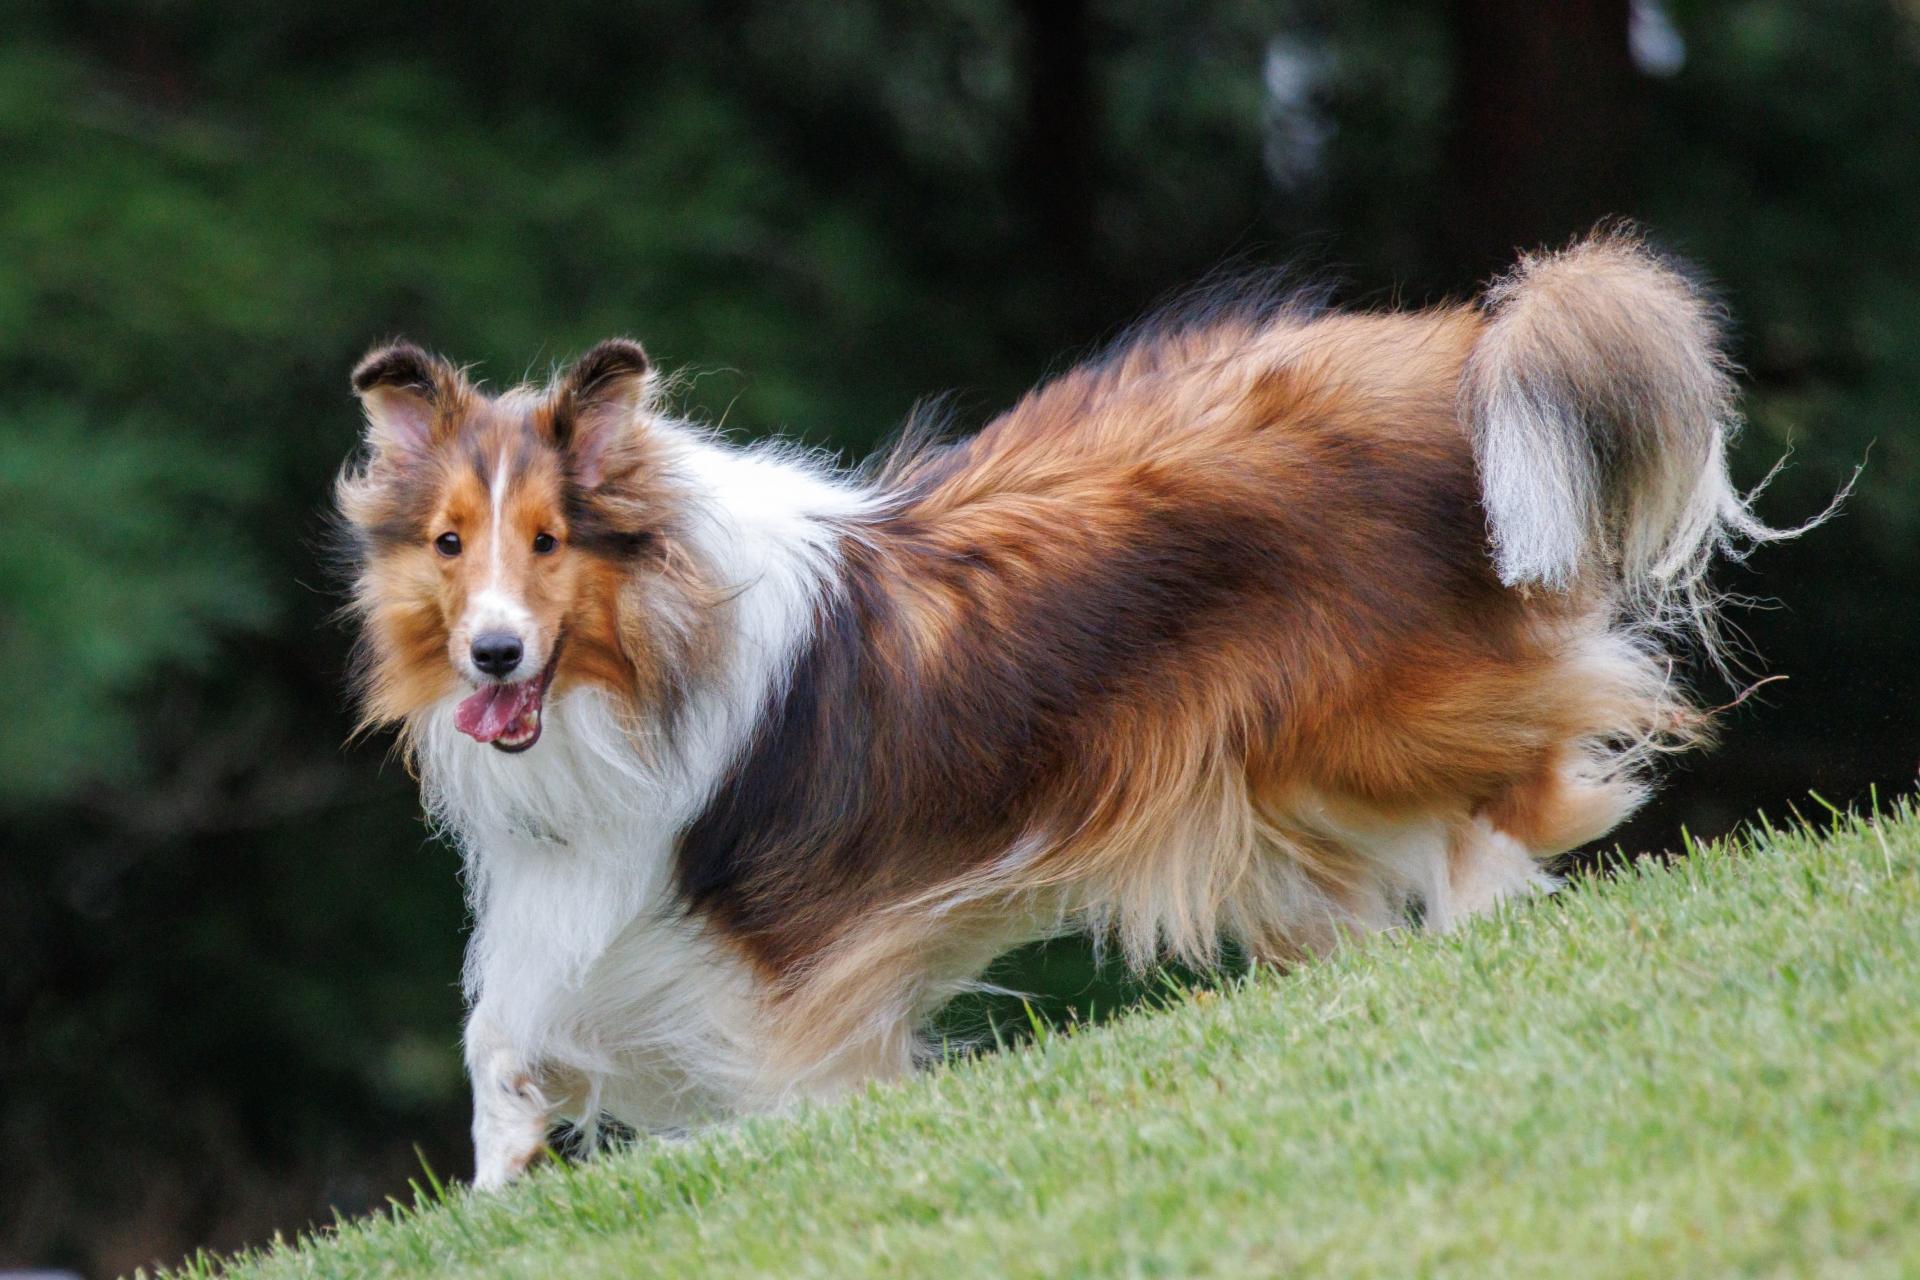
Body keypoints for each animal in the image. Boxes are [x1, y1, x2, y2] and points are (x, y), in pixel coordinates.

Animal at [334, 230, 1797, 1189]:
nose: (495, 657)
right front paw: (504, 1173)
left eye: (549, 540)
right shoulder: (579, 902)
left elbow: (753, 1065)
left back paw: (1483, 900)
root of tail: (1455, 347)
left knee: (1535, 759)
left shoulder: (764, 956)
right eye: (452, 544)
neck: (651, 648)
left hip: (1382, 711)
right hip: (1289, 770)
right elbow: (498, 1030)